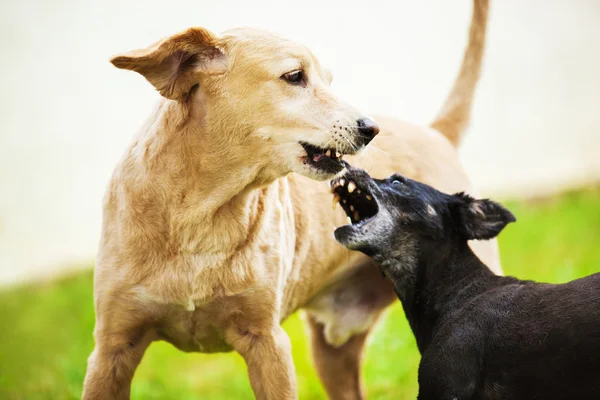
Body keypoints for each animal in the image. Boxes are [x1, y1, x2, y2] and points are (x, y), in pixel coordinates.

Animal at [84, 1, 494, 398]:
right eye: (295, 76)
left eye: (328, 80)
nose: (372, 129)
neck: (199, 217)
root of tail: (435, 133)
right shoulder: (111, 348)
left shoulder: (268, 343)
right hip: (331, 355)